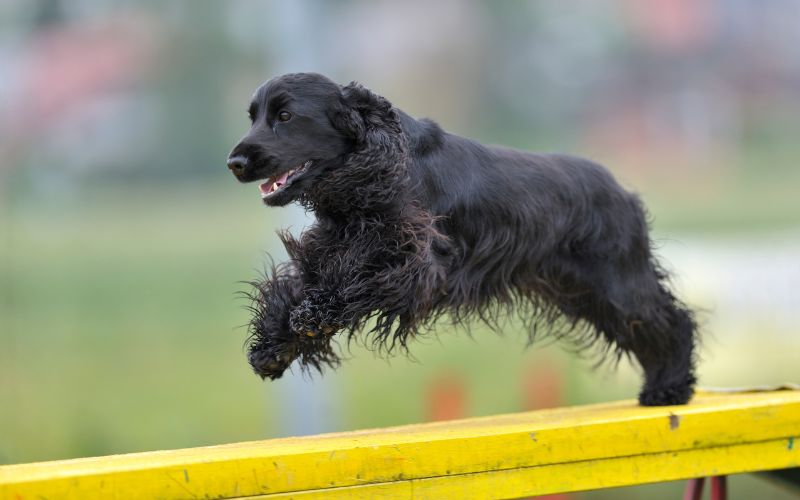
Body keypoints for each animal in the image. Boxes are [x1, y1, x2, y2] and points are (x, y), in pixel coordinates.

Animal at [228, 71, 696, 406]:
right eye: (253, 116)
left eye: (285, 116)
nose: (235, 162)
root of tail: (623, 192)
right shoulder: (332, 248)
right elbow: (292, 286)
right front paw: (273, 346)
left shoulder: (417, 260)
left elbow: (360, 280)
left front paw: (316, 313)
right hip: (584, 291)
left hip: (618, 283)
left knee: (671, 320)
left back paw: (669, 388)